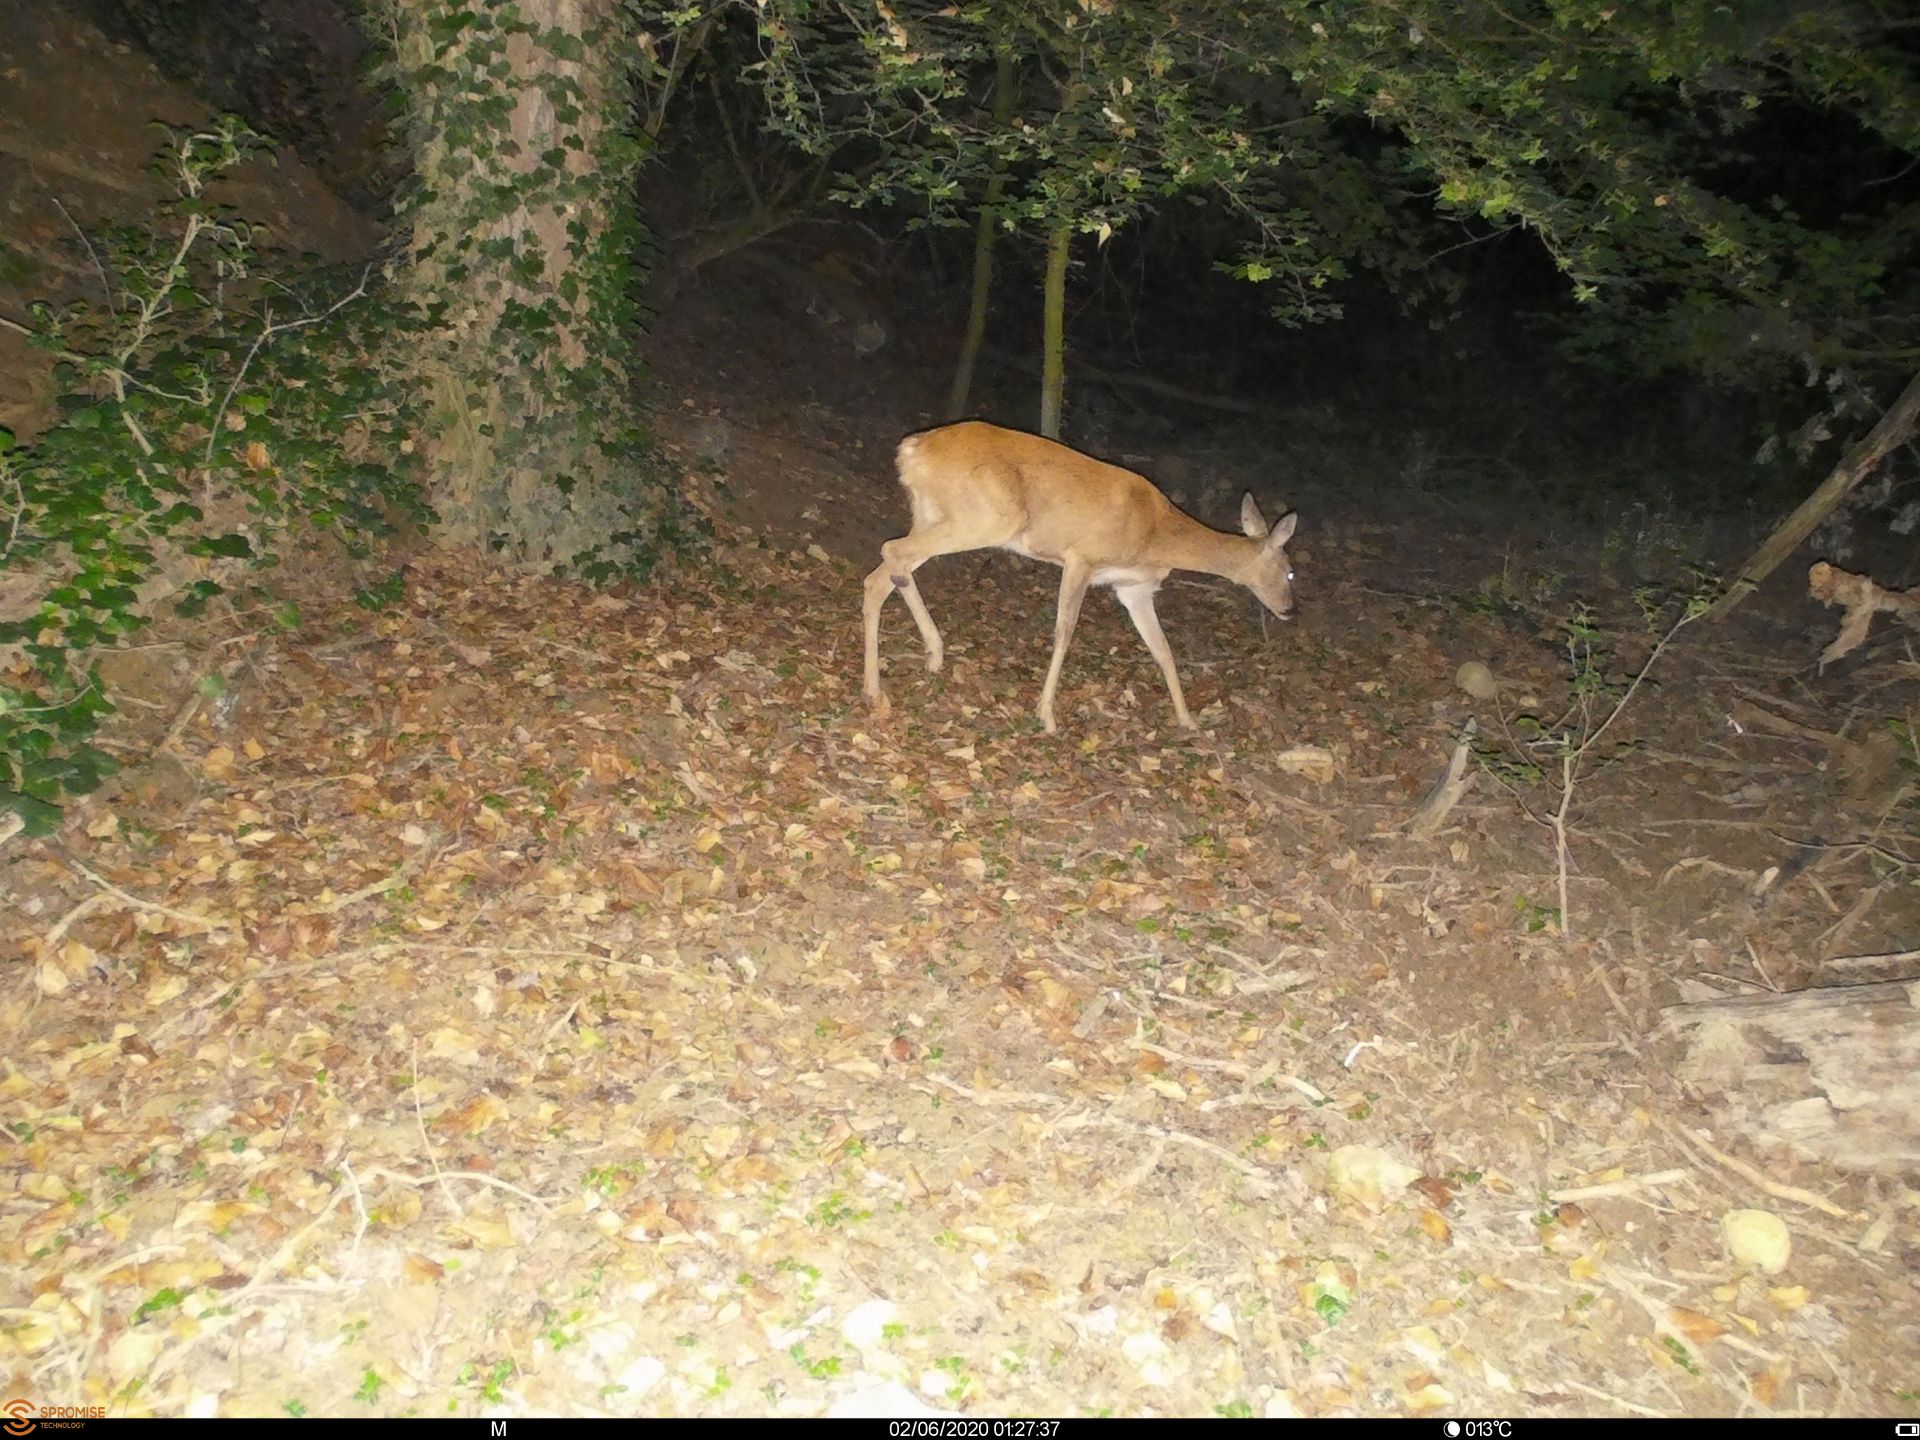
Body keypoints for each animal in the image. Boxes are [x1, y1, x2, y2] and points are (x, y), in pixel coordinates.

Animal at [864, 420, 1297, 733]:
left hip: (935, 513)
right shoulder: (1081, 557)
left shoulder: (1133, 588)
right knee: (892, 554)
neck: (1156, 533)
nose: (1291, 610)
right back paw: (891, 676)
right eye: (1290, 572)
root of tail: (912, 448)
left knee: (881, 575)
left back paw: (915, 663)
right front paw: (1046, 714)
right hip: (991, 517)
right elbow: (1065, 632)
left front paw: (1188, 720)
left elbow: (1163, 650)